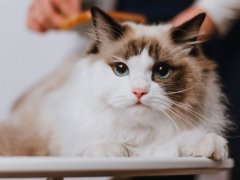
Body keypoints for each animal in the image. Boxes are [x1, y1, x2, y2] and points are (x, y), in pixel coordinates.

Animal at [0, 6, 230, 160]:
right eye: (121, 69)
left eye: (162, 71)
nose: (139, 91)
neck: (137, 134)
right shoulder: (61, 143)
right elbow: (92, 145)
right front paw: (116, 150)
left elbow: (183, 142)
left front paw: (211, 147)